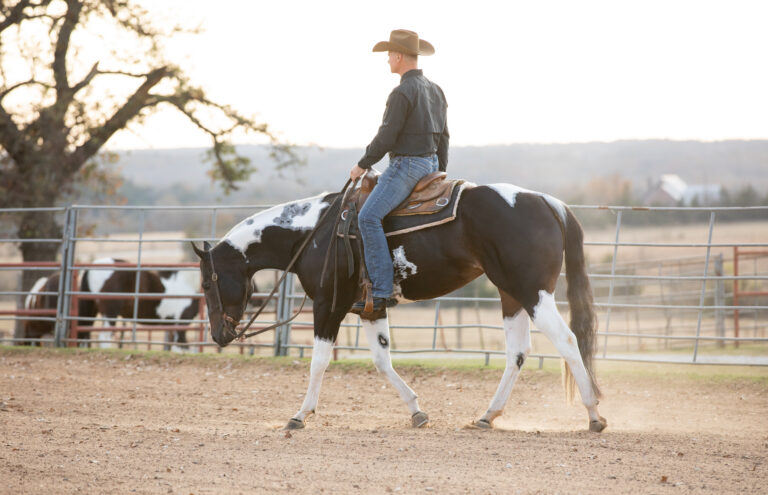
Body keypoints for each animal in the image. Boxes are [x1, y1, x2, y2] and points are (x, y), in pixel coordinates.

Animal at [192, 181, 607, 432]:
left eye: (207, 283)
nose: (219, 334)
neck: (315, 233)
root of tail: (547, 201)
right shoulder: (371, 308)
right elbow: (381, 361)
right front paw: (416, 411)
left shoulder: (329, 305)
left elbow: (319, 361)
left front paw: (300, 415)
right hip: (511, 295)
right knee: (518, 353)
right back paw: (487, 415)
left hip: (533, 292)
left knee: (567, 341)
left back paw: (593, 413)